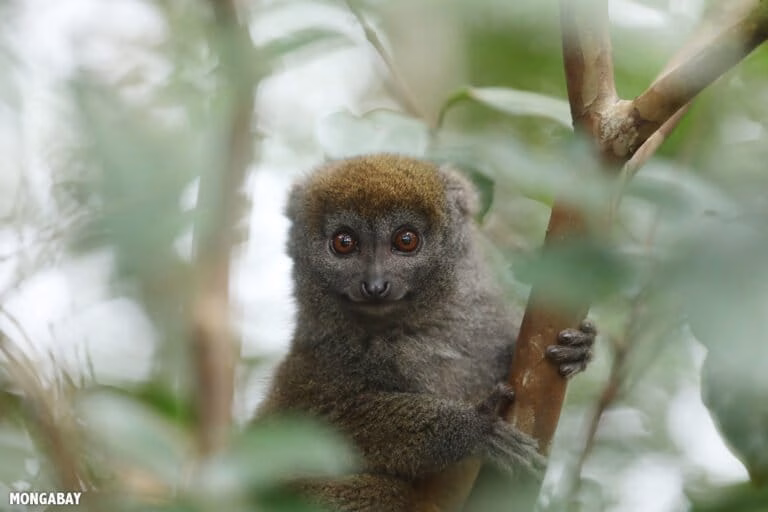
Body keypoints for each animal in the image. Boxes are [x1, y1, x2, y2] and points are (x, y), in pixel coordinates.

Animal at [256, 154, 595, 511]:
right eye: (344, 243)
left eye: (406, 240)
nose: (375, 285)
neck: (417, 331)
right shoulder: (318, 363)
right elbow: (316, 422)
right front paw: (471, 429)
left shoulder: (484, 328)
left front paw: (580, 349)